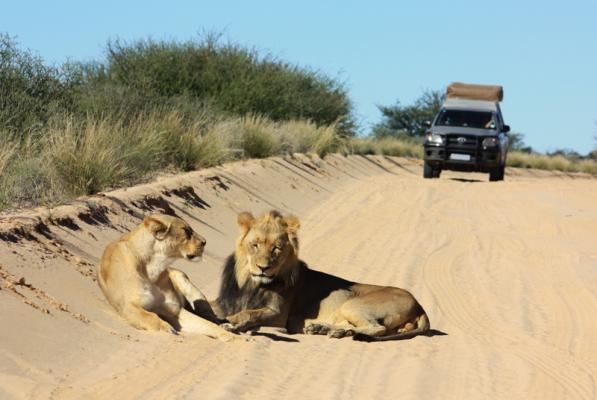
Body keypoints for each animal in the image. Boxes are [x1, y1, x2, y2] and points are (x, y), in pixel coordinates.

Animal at [98, 212, 235, 340]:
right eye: (186, 230)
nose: (204, 242)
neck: (154, 266)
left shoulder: (174, 309)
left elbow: (207, 324)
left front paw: (232, 337)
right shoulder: (129, 306)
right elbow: (152, 317)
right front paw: (167, 328)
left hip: (192, 290)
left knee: (212, 318)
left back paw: (227, 326)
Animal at [212, 209, 430, 340]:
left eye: (276, 248)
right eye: (255, 245)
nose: (263, 268)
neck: (251, 283)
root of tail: (420, 305)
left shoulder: (279, 314)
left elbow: (248, 313)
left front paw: (230, 324)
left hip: (352, 305)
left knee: (378, 328)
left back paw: (338, 331)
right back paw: (325, 329)